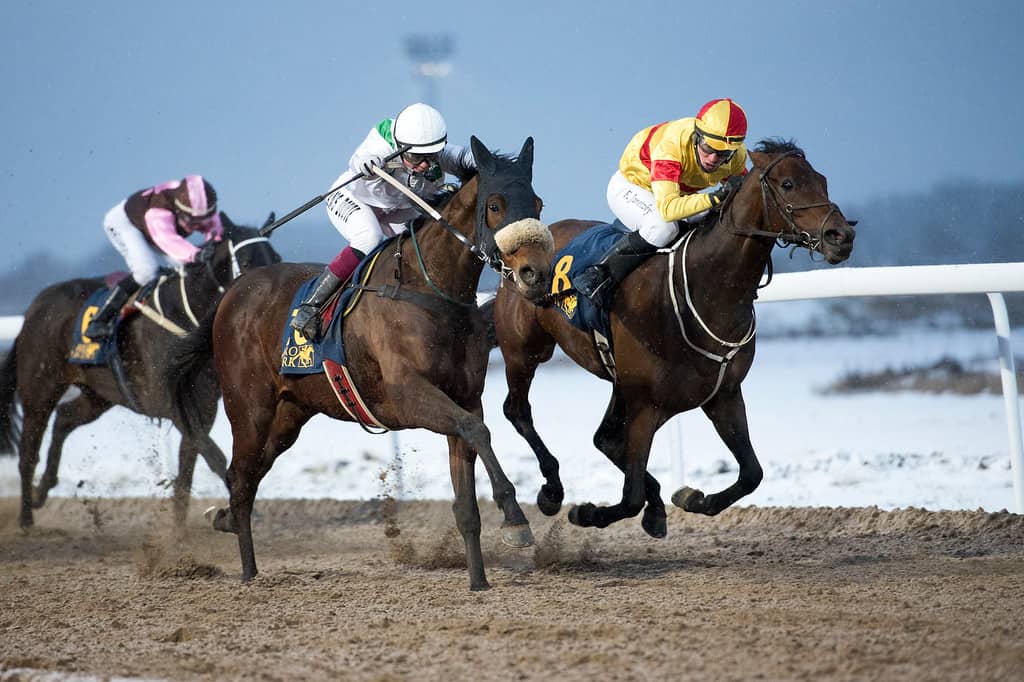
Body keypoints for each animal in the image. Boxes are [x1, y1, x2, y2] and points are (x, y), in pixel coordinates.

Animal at [0, 215, 280, 528]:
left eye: (275, 257)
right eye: (246, 259)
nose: (267, 297)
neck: (184, 317)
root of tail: (33, 309)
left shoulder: (204, 407)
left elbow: (187, 470)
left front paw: (179, 530)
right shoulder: (172, 404)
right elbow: (214, 457)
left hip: (97, 395)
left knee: (64, 418)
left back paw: (42, 490)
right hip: (40, 388)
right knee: (28, 451)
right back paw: (26, 518)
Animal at [167, 135, 557, 585]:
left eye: (538, 204)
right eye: (494, 205)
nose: (535, 274)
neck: (431, 289)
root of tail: (231, 293)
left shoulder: (464, 397)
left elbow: (467, 494)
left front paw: (478, 581)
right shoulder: (408, 396)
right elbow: (479, 430)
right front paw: (514, 516)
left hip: (288, 417)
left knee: (248, 475)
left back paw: (224, 520)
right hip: (248, 409)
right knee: (241, 478)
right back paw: (248, 572)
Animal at [487, 138, 856, 536]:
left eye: (822, 180)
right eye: (788, 184)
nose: (842, 236)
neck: (705, 287)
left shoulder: (723, 395)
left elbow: (751, 474)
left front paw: (692, 498)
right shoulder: (645, 403)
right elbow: (630, 496)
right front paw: (587, 512)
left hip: (620, 385)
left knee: (605, 439)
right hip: (525, 352)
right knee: (519, 411)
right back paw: (552, 493)